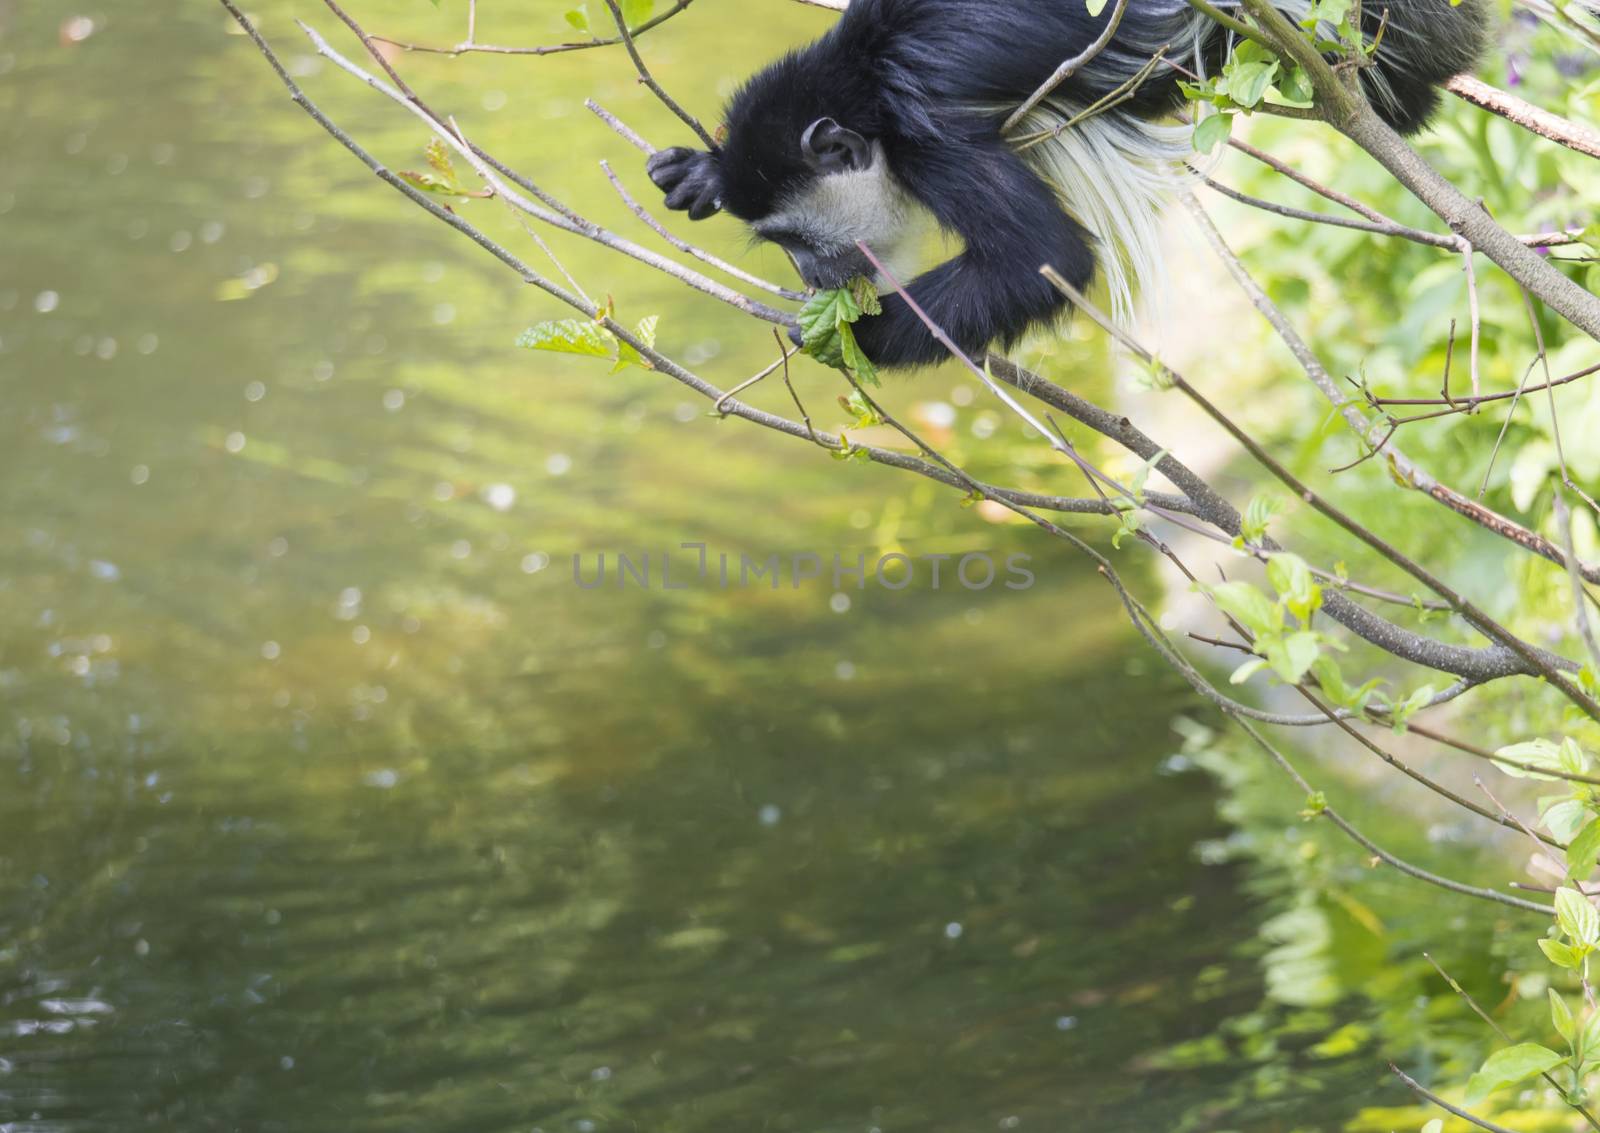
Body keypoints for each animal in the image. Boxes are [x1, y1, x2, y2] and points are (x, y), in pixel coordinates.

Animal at [646, 0, 1484, 368]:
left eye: (797, 238)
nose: (811, 276)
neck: (867, 81)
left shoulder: (933, 139)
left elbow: (1041, 259)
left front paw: (859, 335)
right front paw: (698, 172)